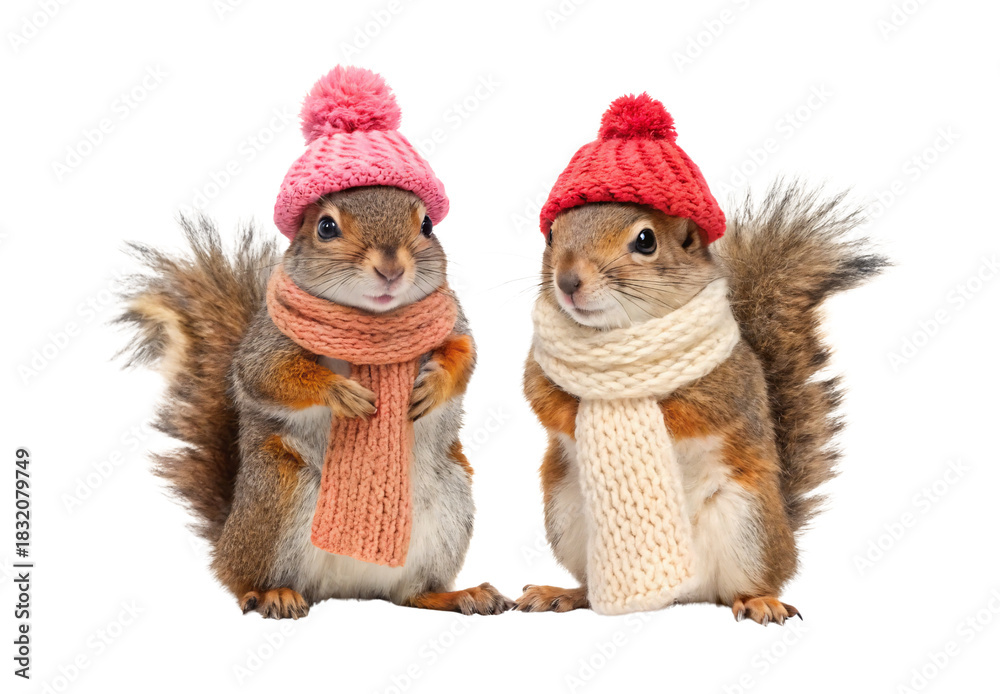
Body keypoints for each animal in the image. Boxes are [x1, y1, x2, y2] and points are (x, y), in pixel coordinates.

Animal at [117, 67, 513, 619]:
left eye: (427, 225)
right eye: (325, 226)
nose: (391, 266)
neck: (372, 323)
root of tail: (349, 588)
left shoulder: (453, 321)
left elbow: (466, 356)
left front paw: (434, 385)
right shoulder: (268, 340)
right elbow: (269, 375)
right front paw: (338, 391)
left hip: (450, 497)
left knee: (412, 594)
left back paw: (458, 593)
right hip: (277, 493)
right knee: (242, 581)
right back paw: (273, 593)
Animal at [513, 95, 885, 623]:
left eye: (645, 240)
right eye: (551, 237)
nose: (567, 281)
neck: (621, 338)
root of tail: (684, 593)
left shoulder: (731, 380)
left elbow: (693, 412)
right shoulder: (536, 367)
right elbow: (543, 399)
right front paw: (576, 416)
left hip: (747, 523)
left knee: (745, 584)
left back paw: (759, 601)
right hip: (567, 514)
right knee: (591, 584)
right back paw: (563, 593)